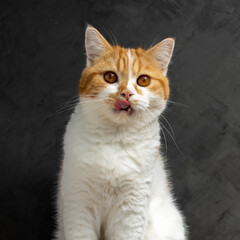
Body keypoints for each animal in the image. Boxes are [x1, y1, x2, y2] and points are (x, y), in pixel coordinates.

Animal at [55, 25, 187, 239]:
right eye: (110, 77)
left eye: (143, 80)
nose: (126, 92)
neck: (115, 139)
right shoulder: (78, 204)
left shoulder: (132, 209)